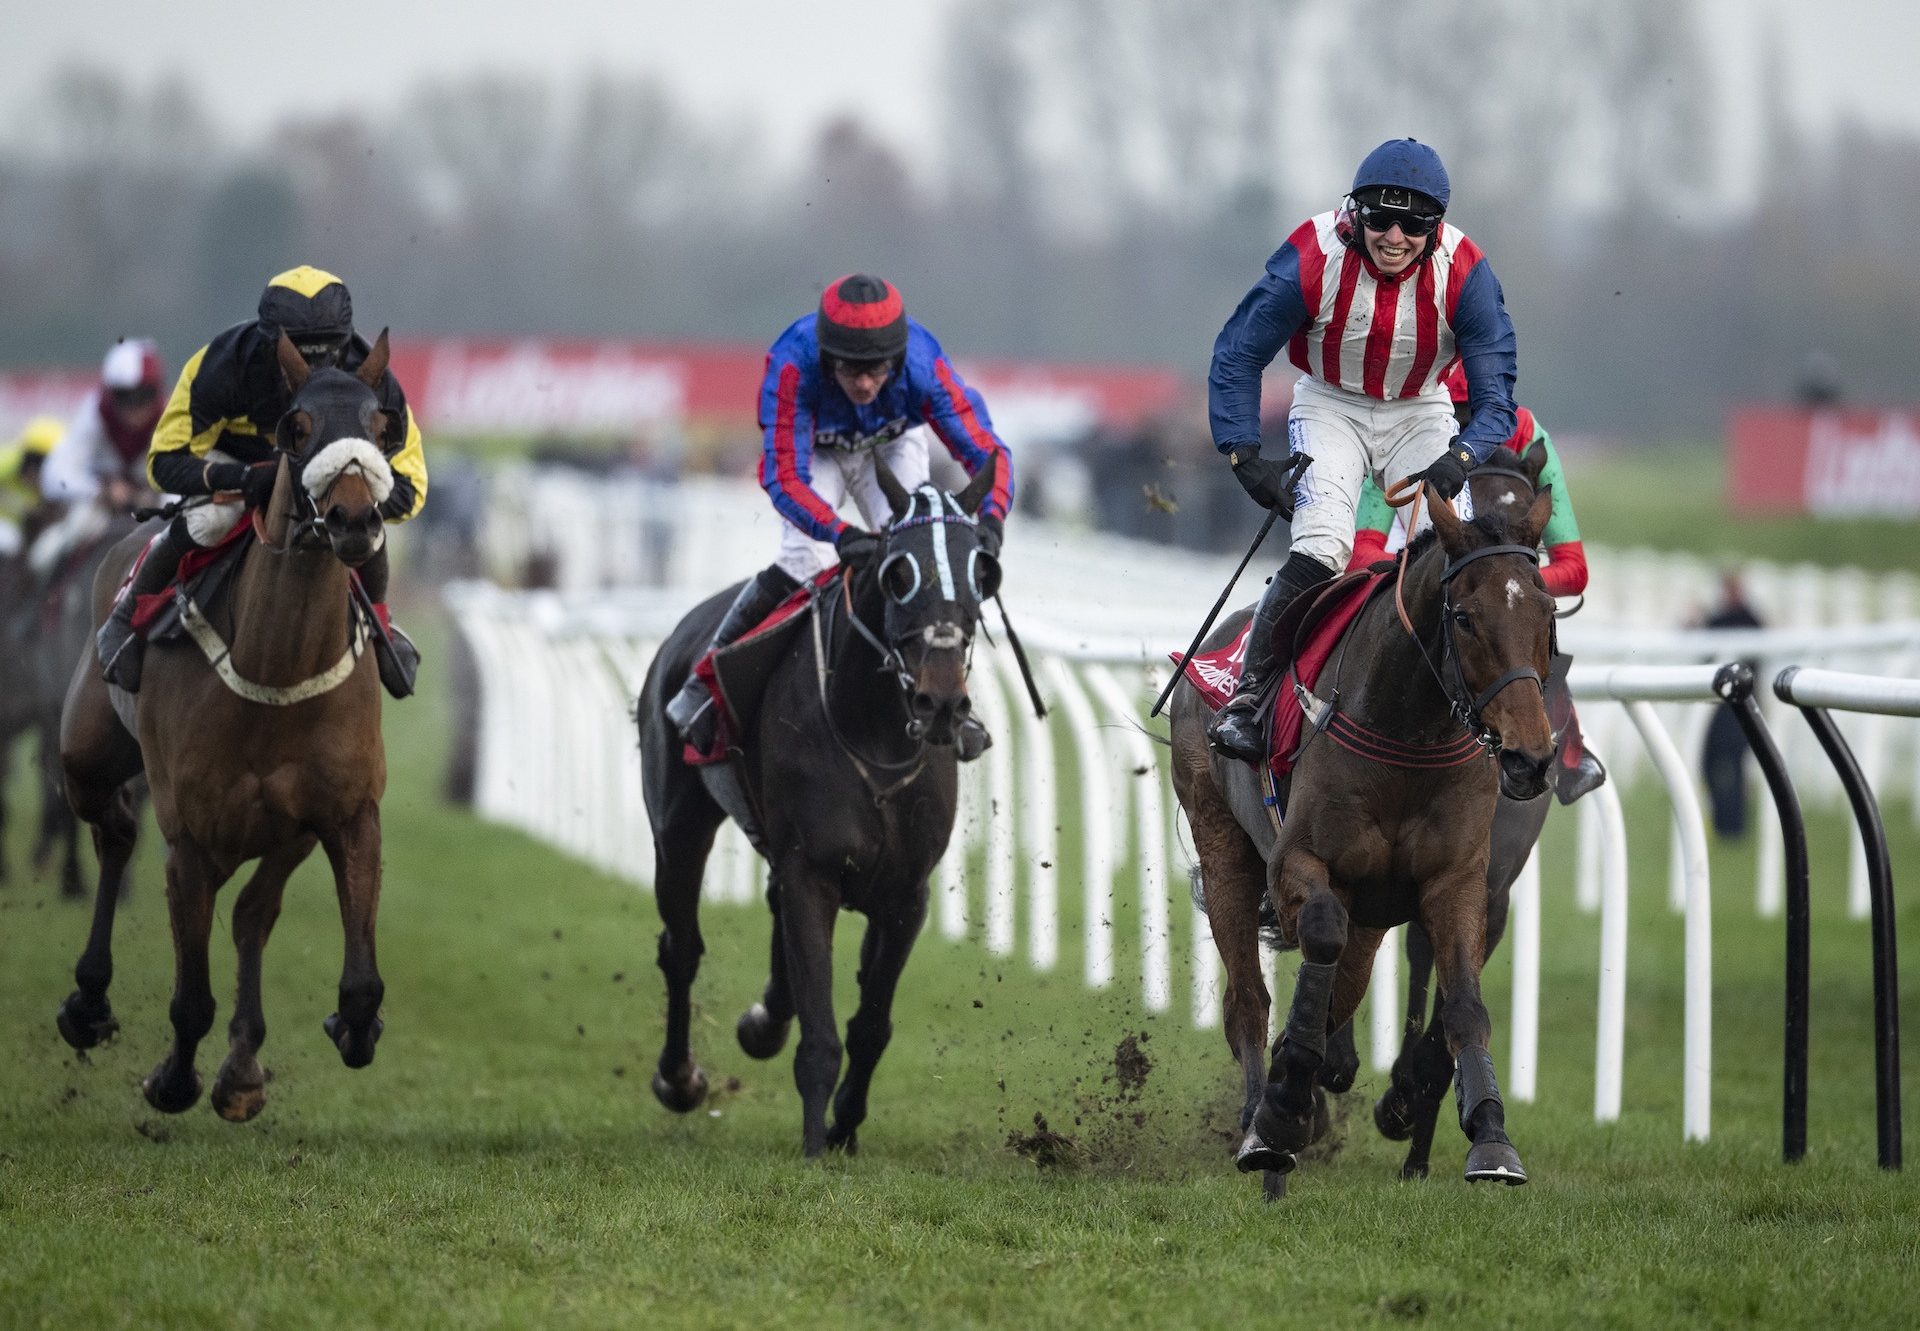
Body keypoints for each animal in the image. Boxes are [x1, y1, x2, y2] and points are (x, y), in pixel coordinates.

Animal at [56, 334, 395, 1121]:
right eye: (296, 428)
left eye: (381, 422)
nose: (355, 521)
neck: (275, 666)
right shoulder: (189, 838)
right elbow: (190, 998)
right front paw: (172, 1079)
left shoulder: (346, 814)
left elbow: (359, 986)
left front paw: (340, 1029)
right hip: (85, 753)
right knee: (115, 833)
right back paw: (88, 1000)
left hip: (284, 833)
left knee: (248, 912)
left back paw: (241, 1067)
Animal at [641, 455, 1006, 1152]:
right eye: (898, 572)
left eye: (983, 569)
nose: (943, 703)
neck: (875, 731)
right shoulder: (814, 873)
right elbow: (821, 1032)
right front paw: (814, 1144)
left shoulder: (904, 893)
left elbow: (871, 1025)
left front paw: (844, 1127)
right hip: (678, 825)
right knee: (681, 946)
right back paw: (679, 1078)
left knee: (766, 914)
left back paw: (763, 1021)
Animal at [1167, 478, 1559, 1190]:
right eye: (1465, 618)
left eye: (1547, 615)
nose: (1530, 759)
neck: (1409, 730)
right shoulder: (1299, 861)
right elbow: (1319, 934)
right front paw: (1280, 1112)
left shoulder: (1460, 880)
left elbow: (1464, 1006)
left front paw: (1490, 1136)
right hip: (1222, 844)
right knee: (1248, 1000)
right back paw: (1259, 1119)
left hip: (1374, 910)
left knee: (1340, 989)